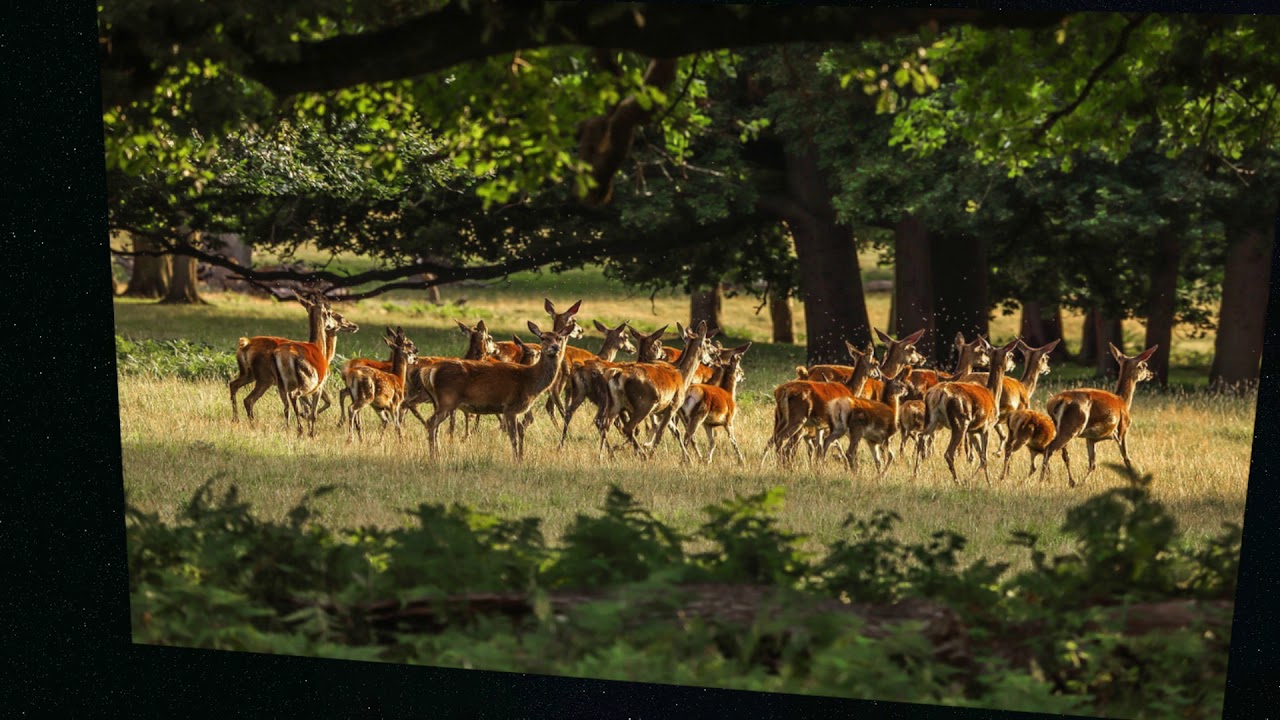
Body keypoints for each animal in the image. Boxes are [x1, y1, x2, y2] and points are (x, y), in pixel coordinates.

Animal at [229, 292, 357, 422]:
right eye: (335, 315)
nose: (354, 326)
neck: (325, 354)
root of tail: (245, 344)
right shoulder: (318, 383)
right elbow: (321, 404)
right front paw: (307, 415)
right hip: (266, 378)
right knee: (250, 399)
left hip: (250, 374)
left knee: (234, 385)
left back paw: (236, 419)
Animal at [422, 319, 579, 461]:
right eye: (543, 337)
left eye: (559, 338)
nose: (555, 347)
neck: (530, 381)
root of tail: (431, 370)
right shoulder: (510, 407)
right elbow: (514, 437)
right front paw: (516, 461)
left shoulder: (514, 410)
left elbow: (520, 432)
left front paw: (521, 459)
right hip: (448, 399)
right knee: (431, 423)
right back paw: (433, 457)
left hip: (439, 402)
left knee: (436, 427)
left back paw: (437, 454)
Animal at [596, 321, 713, 461]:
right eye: (706, 345)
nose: (710, 361)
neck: (682, 376)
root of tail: (617, 375)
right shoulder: (673, 405)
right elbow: (661, 432)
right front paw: (653, 455)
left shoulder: (662, 410)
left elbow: (675, 431)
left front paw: (688, 459)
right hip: (644, 404)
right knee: (628, 428)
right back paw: (643, 455)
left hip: (615, 404)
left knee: (605, 425)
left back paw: (603, 456)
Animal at [920, 338, 1020, 483]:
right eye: (1010, 355)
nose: (1013, 365)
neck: (993, 394)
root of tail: (940, 393)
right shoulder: (986, 426)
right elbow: (984, 457)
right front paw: (988, 482)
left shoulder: (973, 431)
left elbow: (980, 457)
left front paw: (972, 479)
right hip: (960, 421)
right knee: (948, 453)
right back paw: (957, 481)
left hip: (932, 419)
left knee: (921, 438)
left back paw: (915, 475)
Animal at [1037, 344, 1159, 487]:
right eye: (1144, 365)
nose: (1151, 374)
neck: (1123, 401)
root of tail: (1054, 402)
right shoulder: (1122, 429)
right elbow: (1127, 459)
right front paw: (1134, 482)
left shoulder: (1090, 438)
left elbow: (1092, 463)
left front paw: (1082, 483)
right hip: (1072, 426)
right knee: (1050, 449)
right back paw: (1043, 480)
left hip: (1059, 426)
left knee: (1060, 453)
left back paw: (1063, 480)